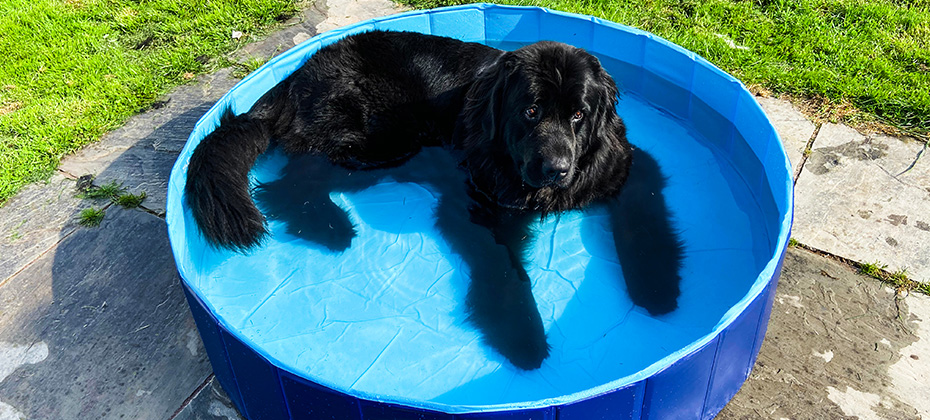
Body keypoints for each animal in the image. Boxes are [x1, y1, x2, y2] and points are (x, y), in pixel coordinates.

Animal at [188, 30, 680, 370]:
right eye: (531, 111)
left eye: (578, 114)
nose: (557, 170)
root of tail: (298, 75)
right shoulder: (475, 207)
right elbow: (504, 269)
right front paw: (521, 336)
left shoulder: (627, 169)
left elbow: (644, 224)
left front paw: (656, 289)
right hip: (382, 141)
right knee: (294, 179)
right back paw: (329, 227)